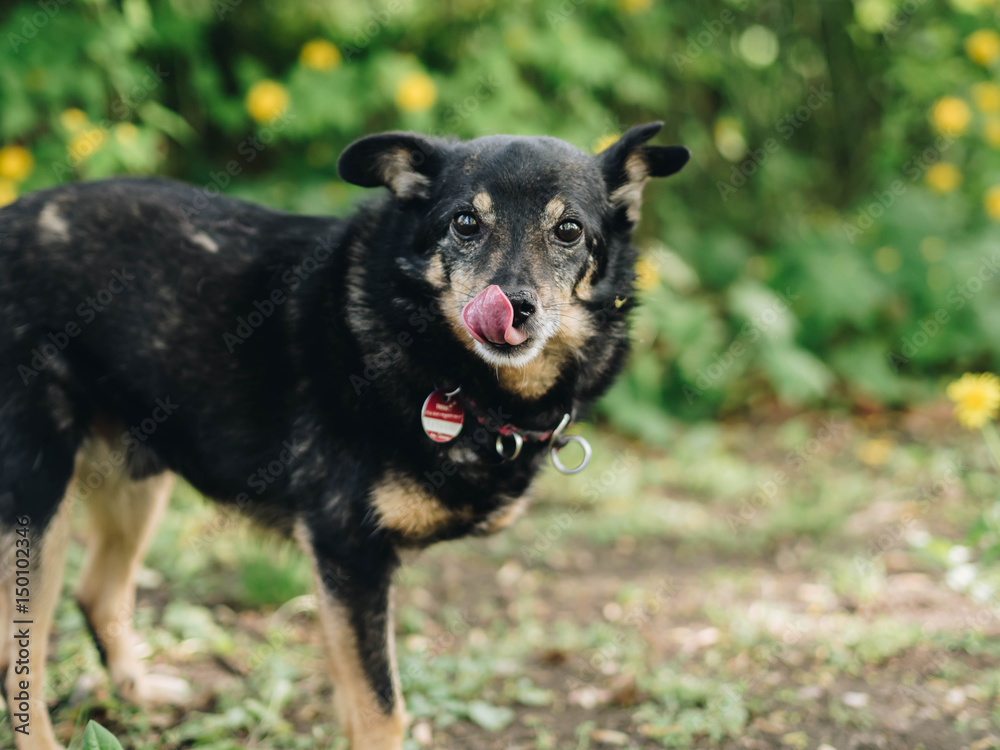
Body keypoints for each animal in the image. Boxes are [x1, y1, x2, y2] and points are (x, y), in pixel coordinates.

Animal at [0, 120, 688, 748]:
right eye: (465, 223)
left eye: (568, 230)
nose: (512, 307)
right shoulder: (347, 551)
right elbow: (383, 711)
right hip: (37, 497)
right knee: (21, 657)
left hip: (137, 474)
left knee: (98, 593)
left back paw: (139, 692)